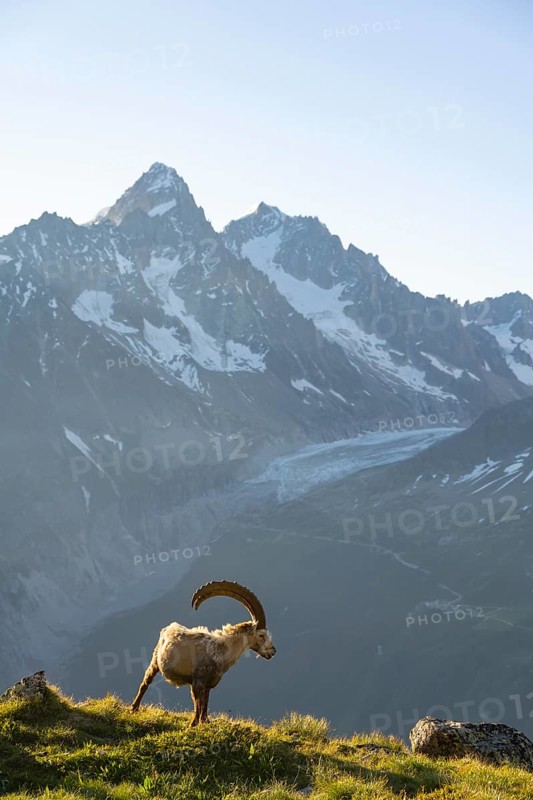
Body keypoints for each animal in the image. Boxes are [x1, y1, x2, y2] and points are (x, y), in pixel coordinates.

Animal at [130, 580, 276, 725]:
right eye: (261, 635)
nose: (273, 651)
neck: (220, 651)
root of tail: (169, 627)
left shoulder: (209, 684)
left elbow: (205, 702)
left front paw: (205, 721)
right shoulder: (197, 681)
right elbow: (197, 703)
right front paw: (194, 723)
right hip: (155, 661)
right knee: (145, 683)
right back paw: (134, 708)